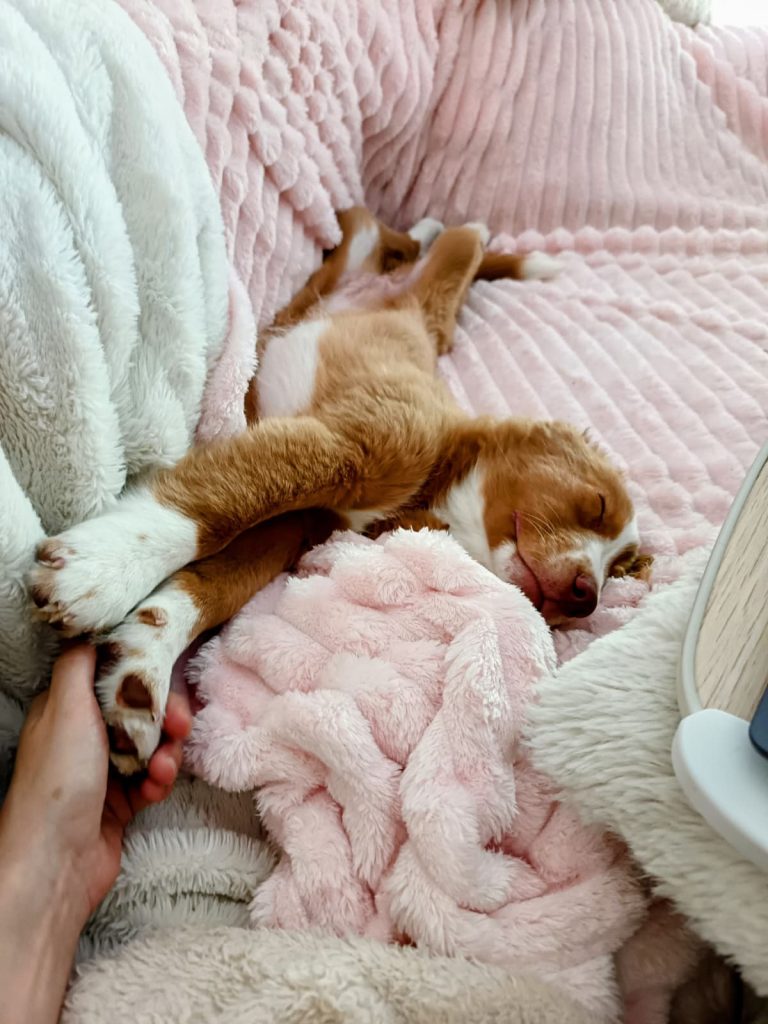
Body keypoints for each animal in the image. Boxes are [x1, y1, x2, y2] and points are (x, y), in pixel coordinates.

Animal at [29, 209, 650, 772]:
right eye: (596, 505)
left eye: (617, 570)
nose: (586, 596)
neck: (437, 481)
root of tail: (412, 307)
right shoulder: (349, 447)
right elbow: (223, 504)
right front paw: (102, 570)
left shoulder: (299, 525)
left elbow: (218, 583)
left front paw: (144, 667)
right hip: (394, 261)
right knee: (427, 233)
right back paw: (431, 232)